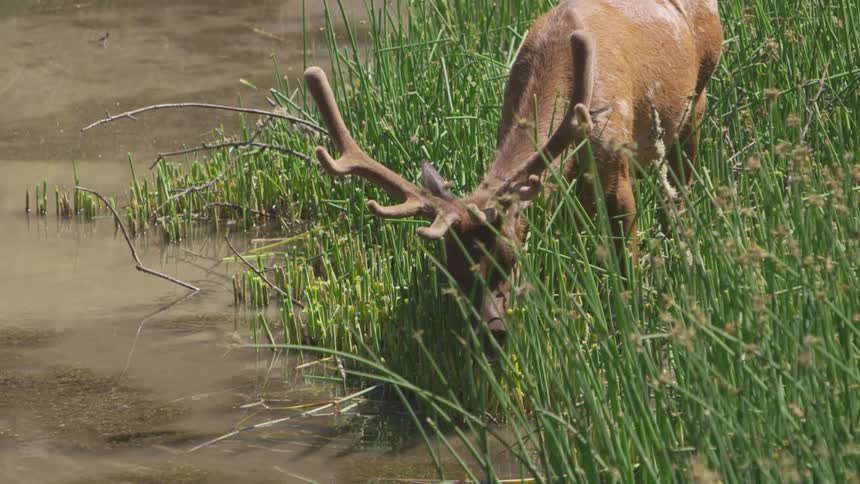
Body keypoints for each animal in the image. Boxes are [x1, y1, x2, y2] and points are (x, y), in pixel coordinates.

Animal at [303, 0, 722, 344]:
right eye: (453, 268)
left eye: (509, 257)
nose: (492, 331)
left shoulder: (615, 165)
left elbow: (625, 260)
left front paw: (631, 311)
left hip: (698, 97)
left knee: (679, 191)